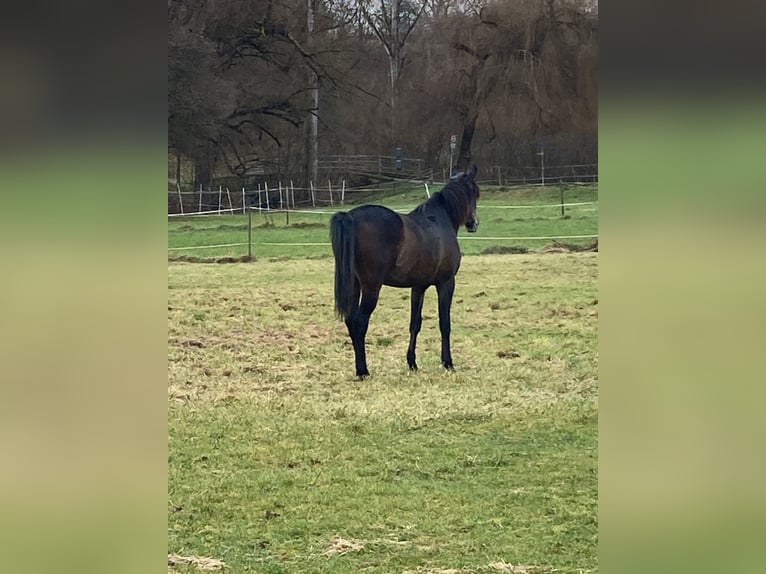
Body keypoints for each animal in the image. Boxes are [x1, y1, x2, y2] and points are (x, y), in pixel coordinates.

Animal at [330, 165, 480, 378]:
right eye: (475, 193)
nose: (474, 223)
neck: (440, 221)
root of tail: (350, 216)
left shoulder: (418, 287)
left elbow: (415, 324)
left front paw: (412, 363)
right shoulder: (446, 283)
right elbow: (445, 323)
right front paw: (448, 362)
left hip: (354, 285)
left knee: (350, 321)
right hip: (371, 288)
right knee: (359, 322)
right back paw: (363, 370)